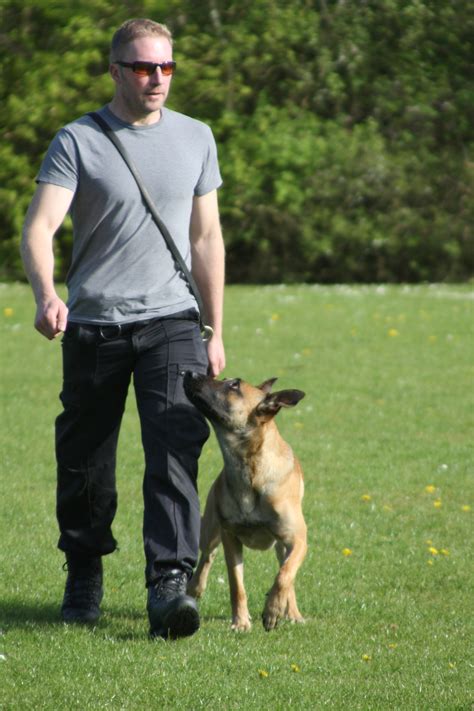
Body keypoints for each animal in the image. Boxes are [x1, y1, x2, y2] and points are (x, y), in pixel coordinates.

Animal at [181, 376, 308, 632]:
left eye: (234, 386)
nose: (190, 373)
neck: (249, 469)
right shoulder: (230, 536)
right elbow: (236, 585)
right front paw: (240, 622)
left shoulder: (298, 539)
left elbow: (284, 576)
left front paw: (273, 610)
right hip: (210, 530)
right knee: (207, 555)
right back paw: (194, 587)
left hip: (283, 545)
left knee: (286, 571)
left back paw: (292, 612)